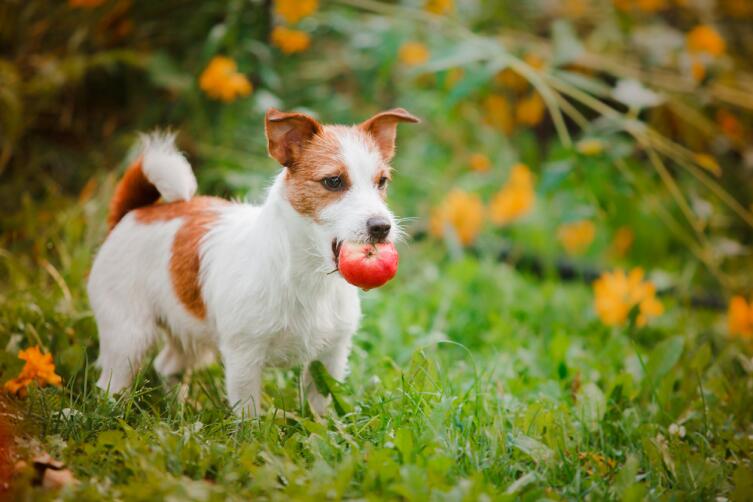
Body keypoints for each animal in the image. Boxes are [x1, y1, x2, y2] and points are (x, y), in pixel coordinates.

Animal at [89, 107, 418, 416]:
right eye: (334, 181)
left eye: (382, 182)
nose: (382, 227)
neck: (307, 277)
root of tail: (134, 214)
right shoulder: (244, 360)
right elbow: (249, 416)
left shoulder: (330, 358)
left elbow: (320, 408)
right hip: (129, 337)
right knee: (110, 384)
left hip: (188, 331)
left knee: (167, 364)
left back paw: (176, 410)